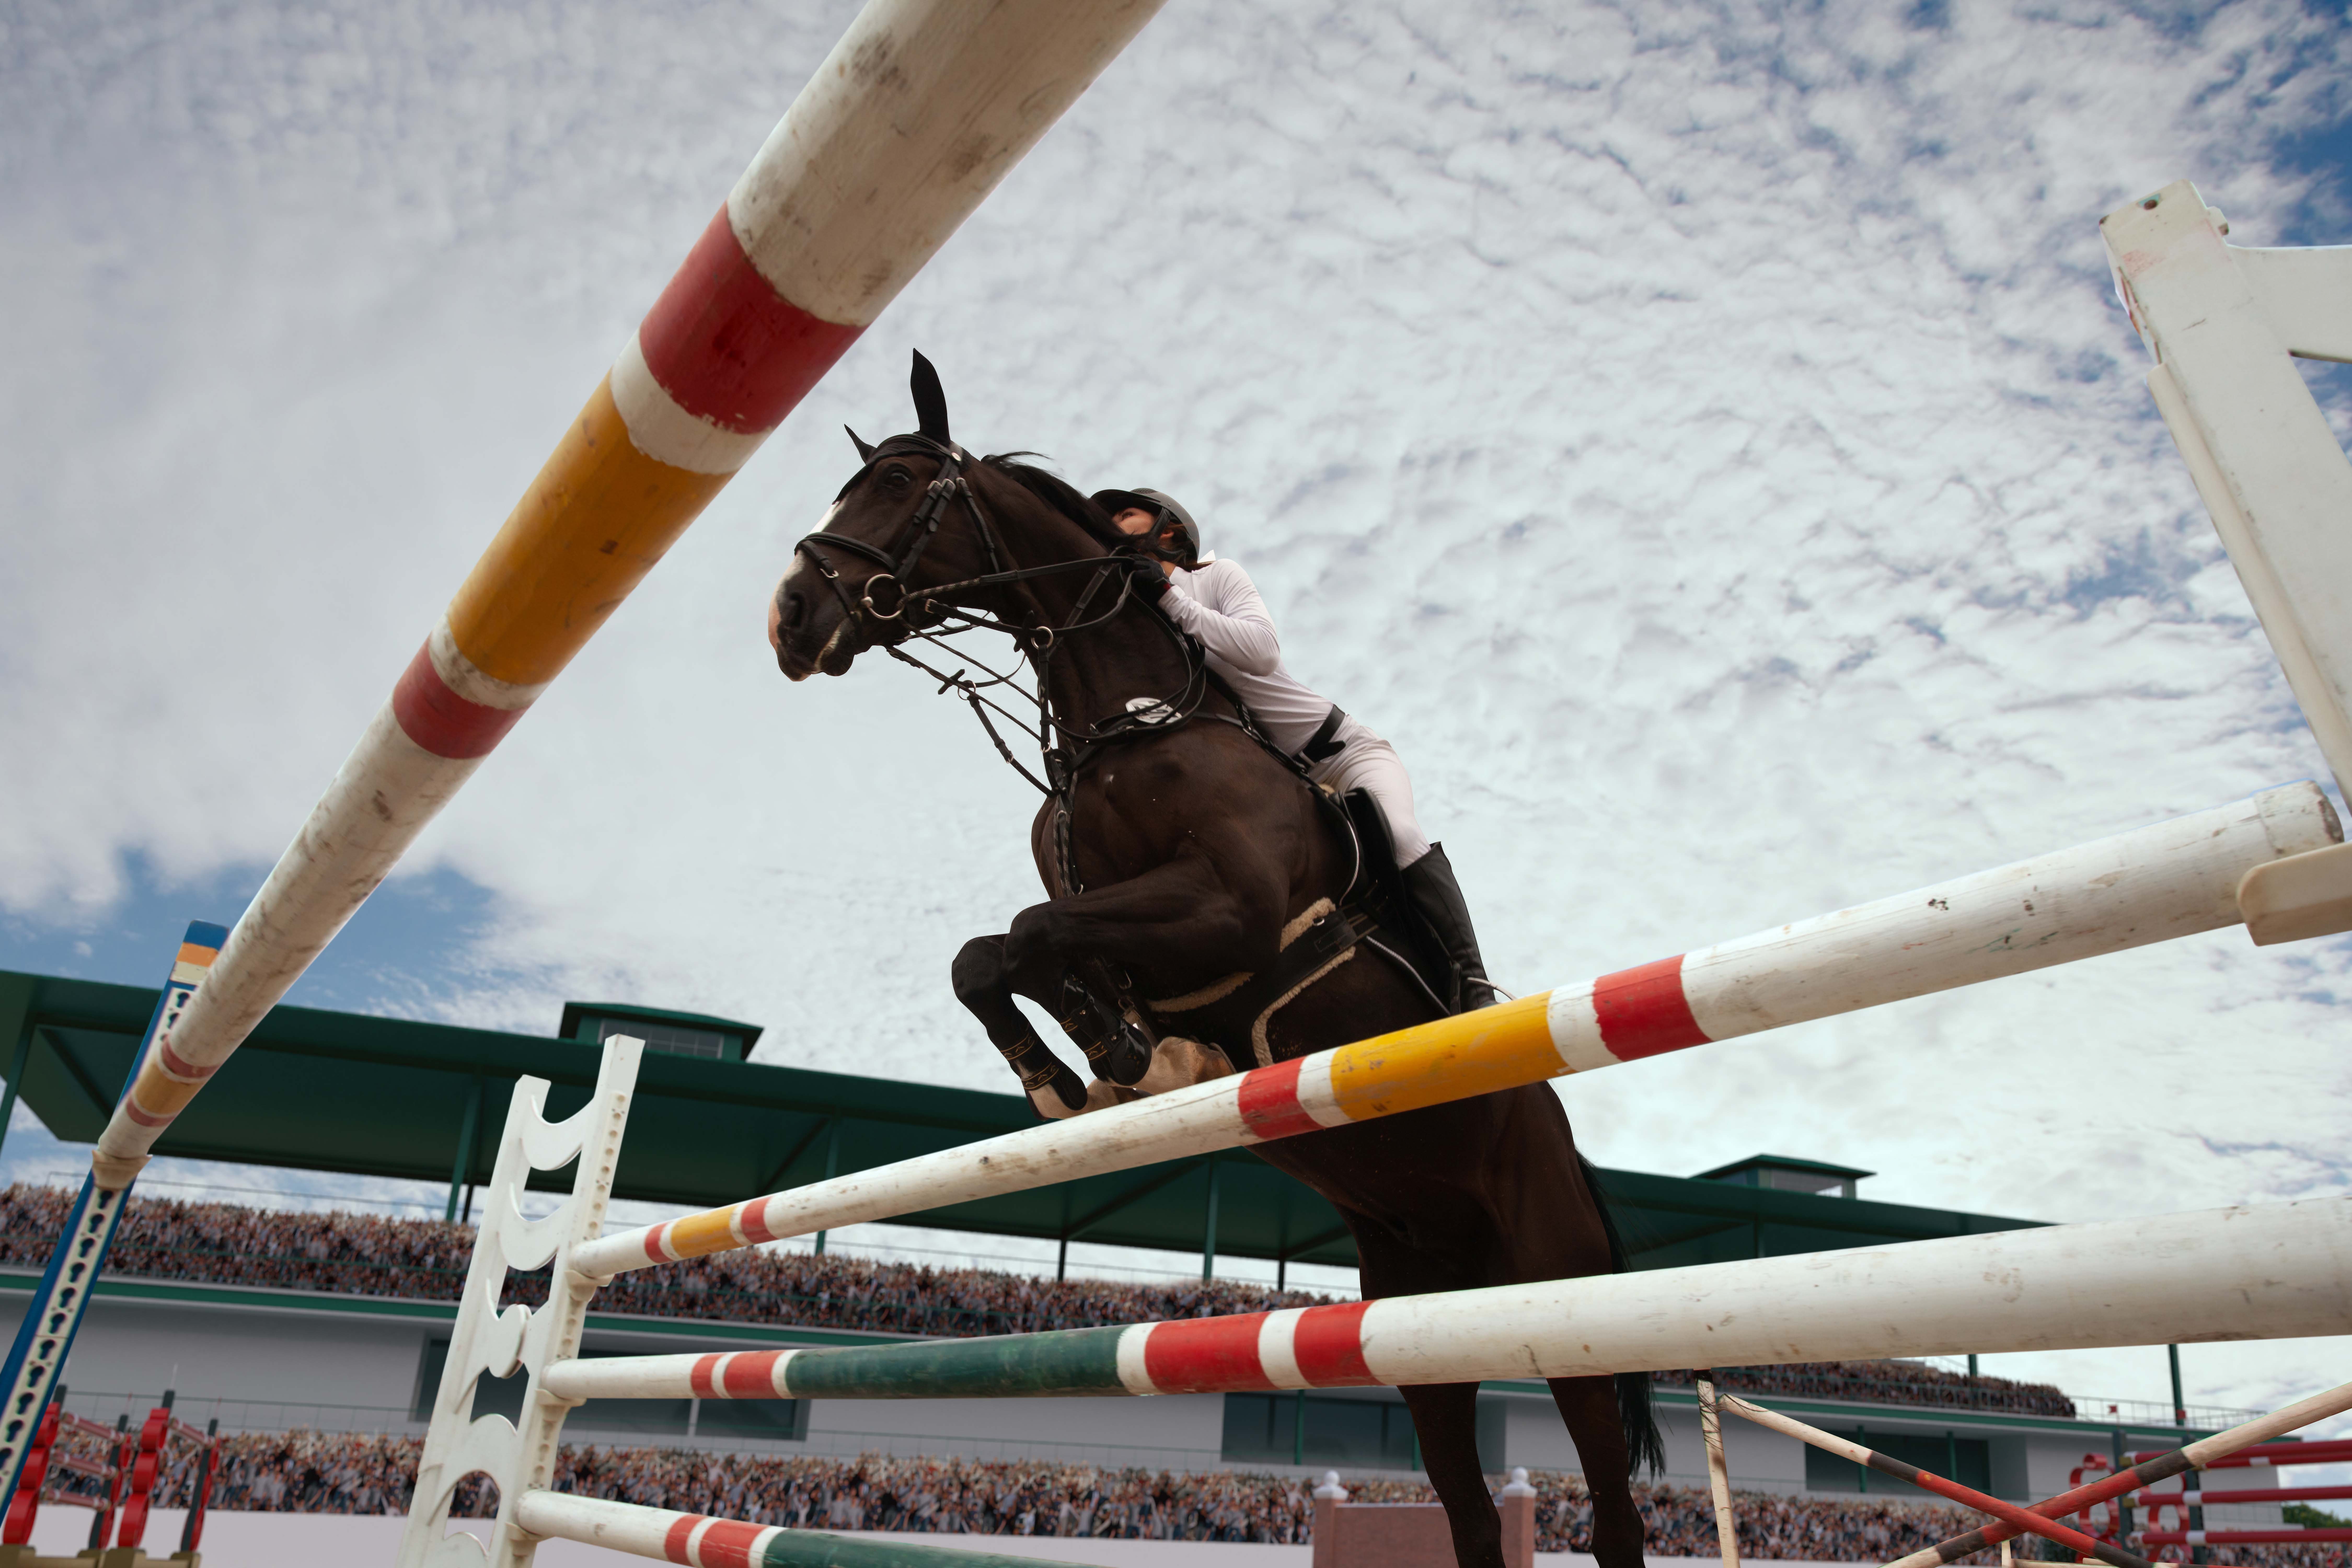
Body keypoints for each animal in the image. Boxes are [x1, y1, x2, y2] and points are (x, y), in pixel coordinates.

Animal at [767, 354, 1660, 1568]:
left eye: (901, 483)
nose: (791, 614)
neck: (1128, 723)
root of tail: (1561, 1136)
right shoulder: (1107, 908)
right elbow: (992, 954)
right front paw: (1085, 1070)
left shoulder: (1230, 910)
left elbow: (1033, 936)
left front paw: (1122, 1056)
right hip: (1417, 1314)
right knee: (1468, 1501)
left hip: (1553, 1294)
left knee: (1610, 1497)